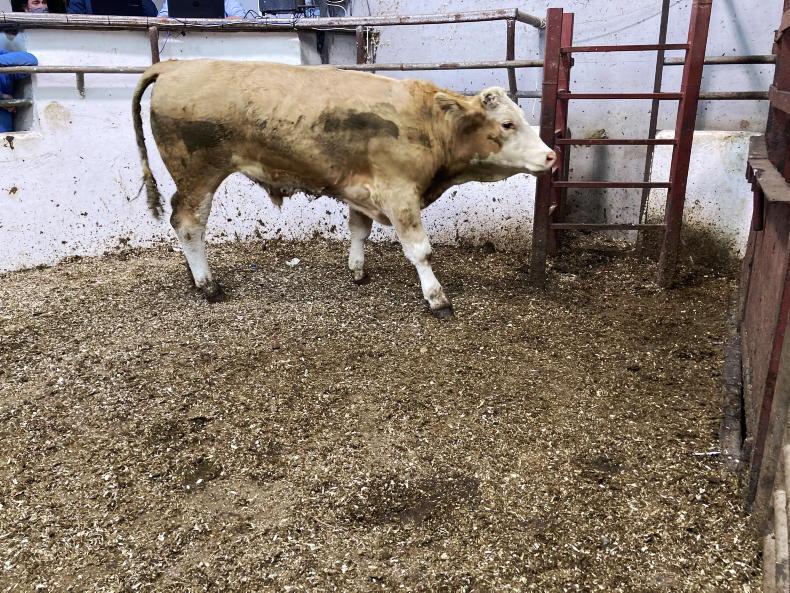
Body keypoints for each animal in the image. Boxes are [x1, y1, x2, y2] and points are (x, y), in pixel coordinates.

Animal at [132, 60, 555, 318]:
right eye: (506, 124)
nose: (551, 156)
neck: (429, 123)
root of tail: (175, 65)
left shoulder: (362, 189)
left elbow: (358, 230)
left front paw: (357, 270)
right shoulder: (399, 194)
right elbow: (421, 250)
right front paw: (437, 298)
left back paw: (194, 276)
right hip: (199, 174)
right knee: (189, 224)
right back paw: (208, 285)